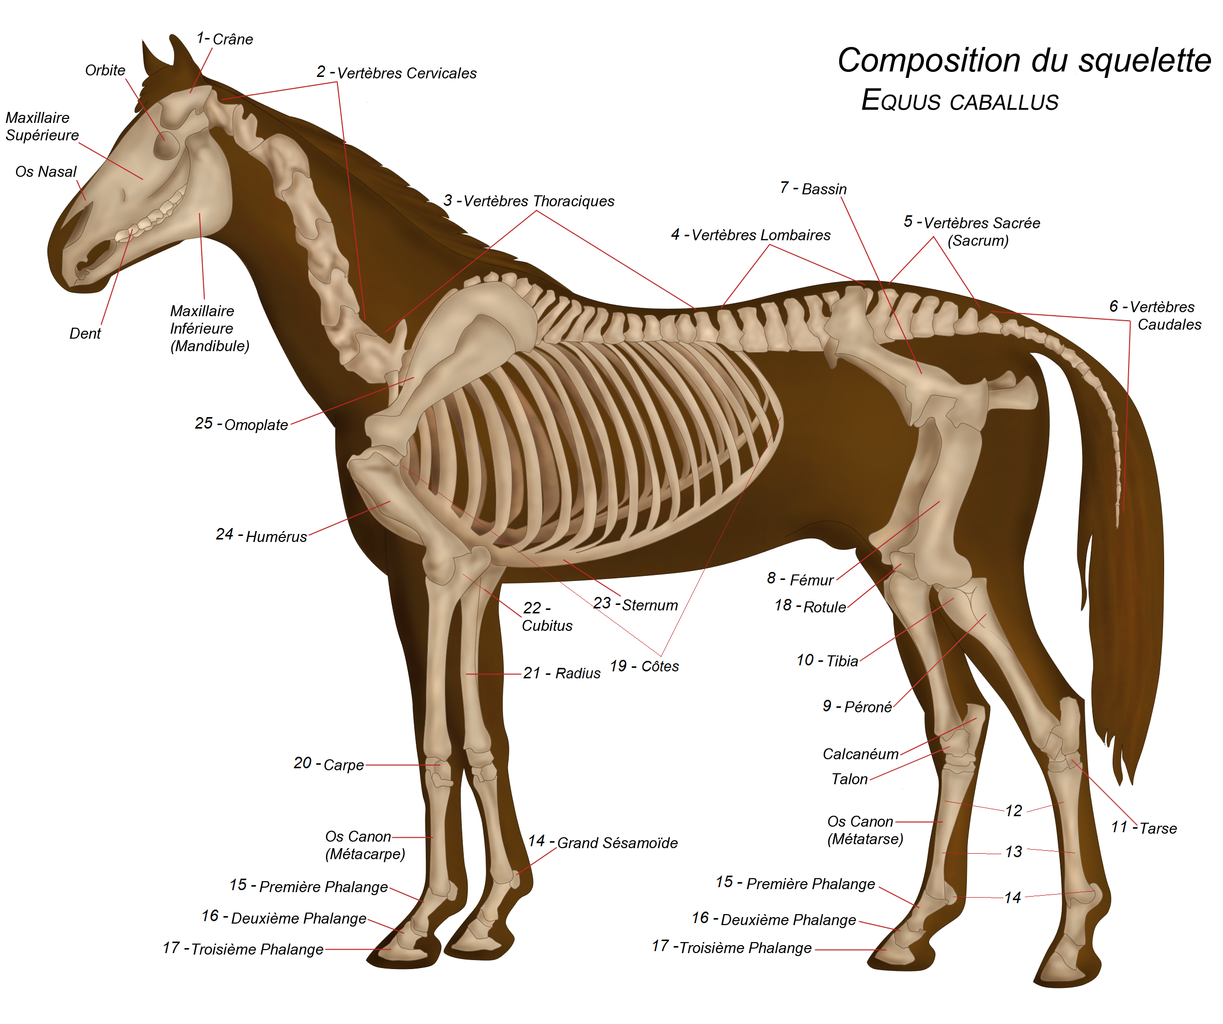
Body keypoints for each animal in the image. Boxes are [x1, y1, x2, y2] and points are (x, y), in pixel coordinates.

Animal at [47, 36, 1162, 987]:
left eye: (161, 140)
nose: (65, 255)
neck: (394, 352)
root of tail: (1002, 331)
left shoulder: (433, 570)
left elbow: (436, 740)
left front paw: (417, 929)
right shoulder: (477, 575)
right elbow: (483, 736)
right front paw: (488, 918)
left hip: (959, 566)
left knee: (1051, 716)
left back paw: (1067, 950)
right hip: (897, 566)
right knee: (962, 722)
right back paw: (913, 933)